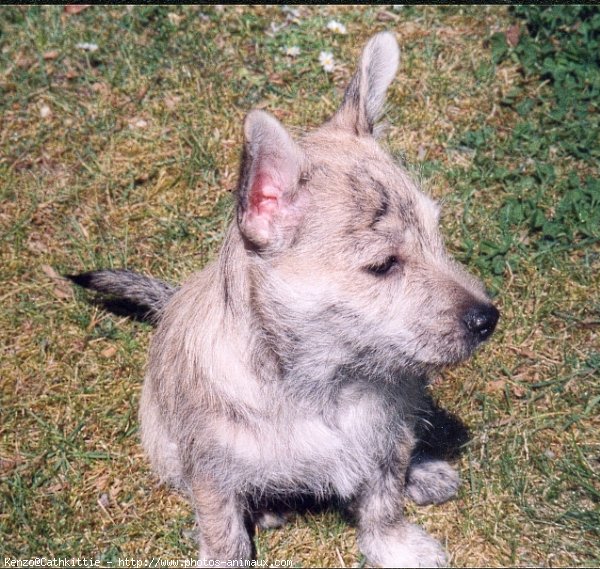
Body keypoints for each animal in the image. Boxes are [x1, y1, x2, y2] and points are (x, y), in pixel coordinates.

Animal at [70, 33, 500, 564]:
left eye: (437, 237)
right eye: (384, 265)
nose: (488, 318)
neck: (324, 384)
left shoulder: (383, 436)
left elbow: (383, 497)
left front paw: (397, 545)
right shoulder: (210, 471)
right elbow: (224, 533)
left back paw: (422, 471)